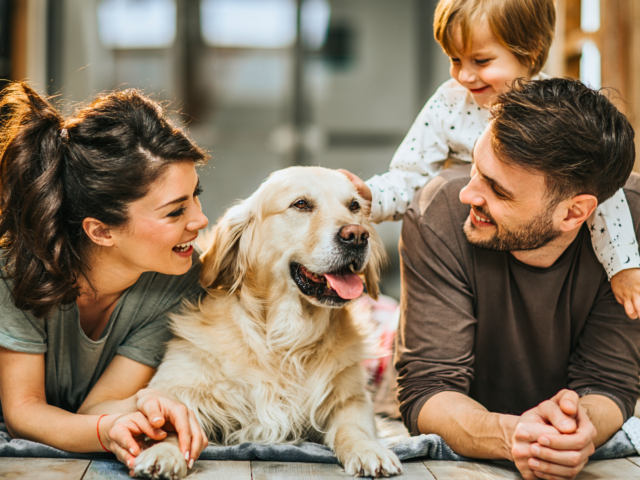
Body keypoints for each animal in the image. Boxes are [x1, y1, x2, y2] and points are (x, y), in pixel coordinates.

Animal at [133, 167, 402, 478]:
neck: (285, 339)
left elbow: (354, 427)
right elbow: (173, 421)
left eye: (354, 206)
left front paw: (368, 449)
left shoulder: (352, 398)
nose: (357, 235)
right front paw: (163, 452)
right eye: (301, 204)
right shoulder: (176, 385)